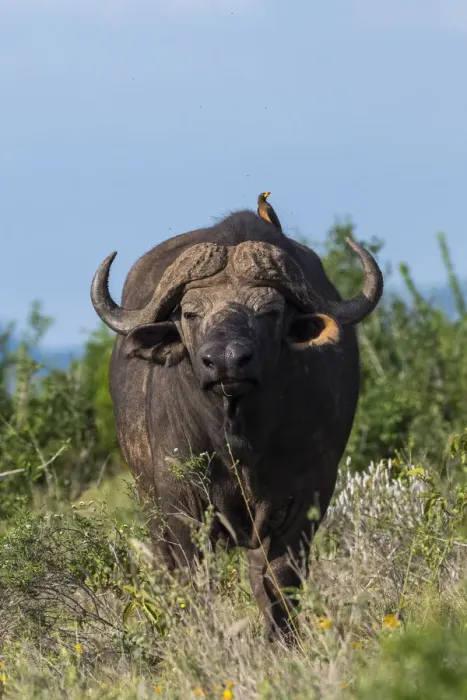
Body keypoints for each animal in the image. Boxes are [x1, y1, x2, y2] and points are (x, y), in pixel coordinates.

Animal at [90, 197, 383, 640]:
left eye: (270, 312)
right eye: (190, 313)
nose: (226, 361)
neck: (238, 436)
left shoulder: (307, 493)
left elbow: (279, 577)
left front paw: (283, 640)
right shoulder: (179, 500)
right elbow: (192, 578)